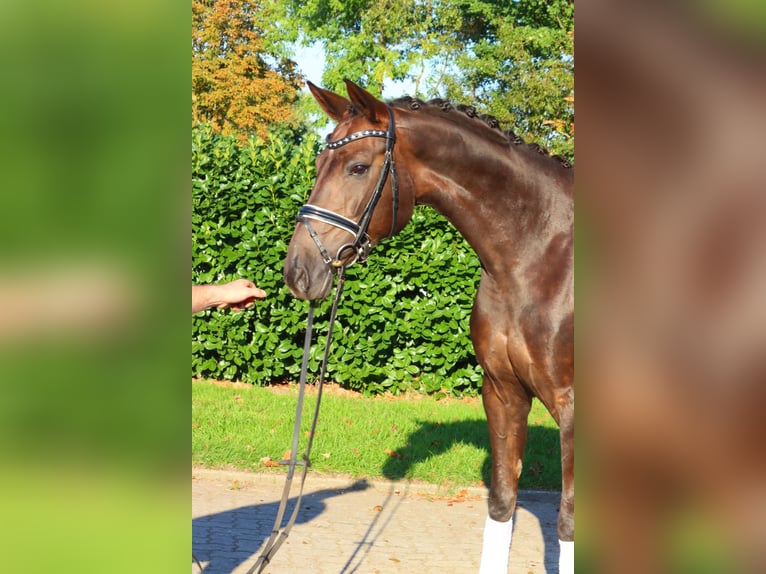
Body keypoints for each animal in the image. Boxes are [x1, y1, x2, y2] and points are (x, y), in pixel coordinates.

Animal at [283, 80, 574, 573]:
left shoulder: (572, 408)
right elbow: (502, 503)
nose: (299, 270)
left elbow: (568, 522)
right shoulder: (503, 392)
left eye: (358, 167)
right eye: (319, 165)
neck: (540, 255)